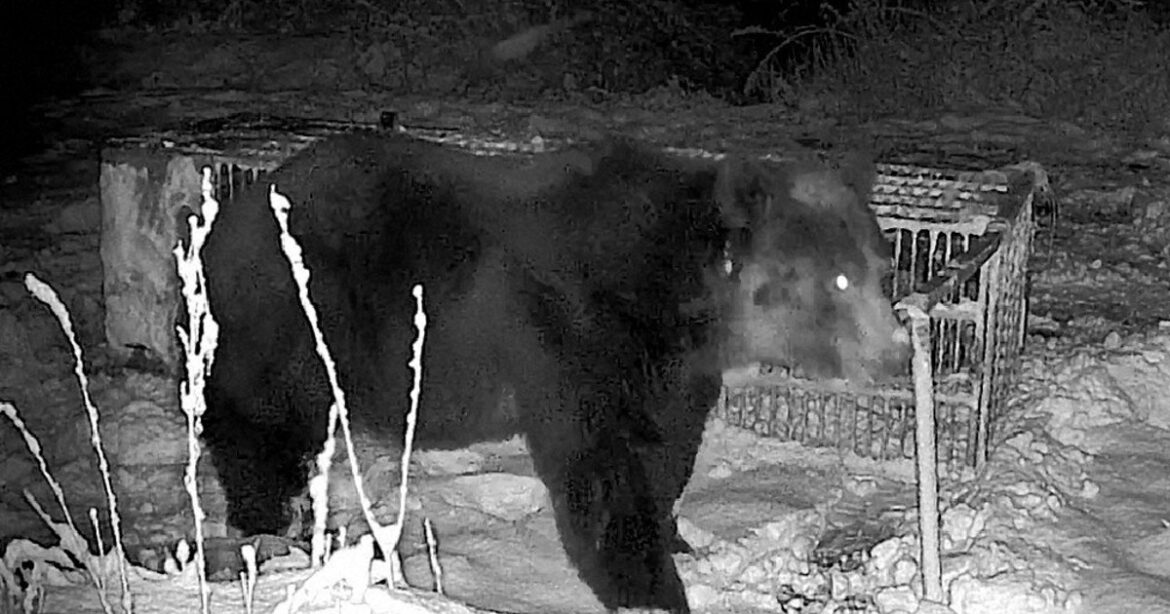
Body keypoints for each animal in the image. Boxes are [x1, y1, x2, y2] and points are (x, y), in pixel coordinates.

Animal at [200, 131, 910, 613]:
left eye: (881, 268)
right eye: (836, 279)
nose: (896, 354)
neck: (680, 301)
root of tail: (234, 208)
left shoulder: (670, 370)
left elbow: (666, 448)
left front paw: (675, 538)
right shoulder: (573, 331)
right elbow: (600, 469)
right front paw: (647, 584)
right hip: (294, 317)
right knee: (257, 422)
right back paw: (268, 526)